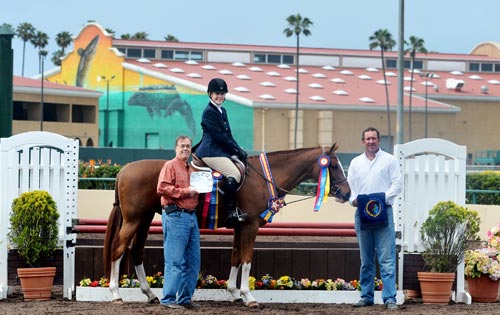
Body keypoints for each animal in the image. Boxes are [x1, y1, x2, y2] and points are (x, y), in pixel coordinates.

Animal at [103, 144, 350, 308]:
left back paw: (150, 294)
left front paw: (234, 293)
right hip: (134, 220)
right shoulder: (250, 226)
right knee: (117, 250)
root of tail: (124, 170)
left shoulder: (240, 227)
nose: (347, 194)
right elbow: (246, 259)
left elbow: (236, 258)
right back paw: (115, 294)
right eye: (334, 165)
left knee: (135, 252)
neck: (263, 178)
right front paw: (248, 297)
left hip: (143, 220)